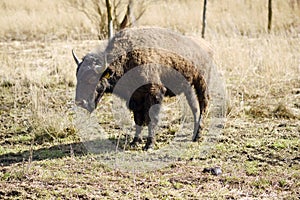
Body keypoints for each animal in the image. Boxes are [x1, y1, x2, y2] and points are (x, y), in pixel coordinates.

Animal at [73, 26, 212, 150]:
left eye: (92, 79)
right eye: (77, 77)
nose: (81, 102)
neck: (126, 58)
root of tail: (205, 45)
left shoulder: (154, 94)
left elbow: (152, 119)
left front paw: (149, 145)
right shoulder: (135, 99)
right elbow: (138, 120)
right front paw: (135, 142)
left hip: (201, 84)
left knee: (203, 106)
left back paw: (198, 136)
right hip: (189, 87)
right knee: (195, 108)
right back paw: (194, 134)